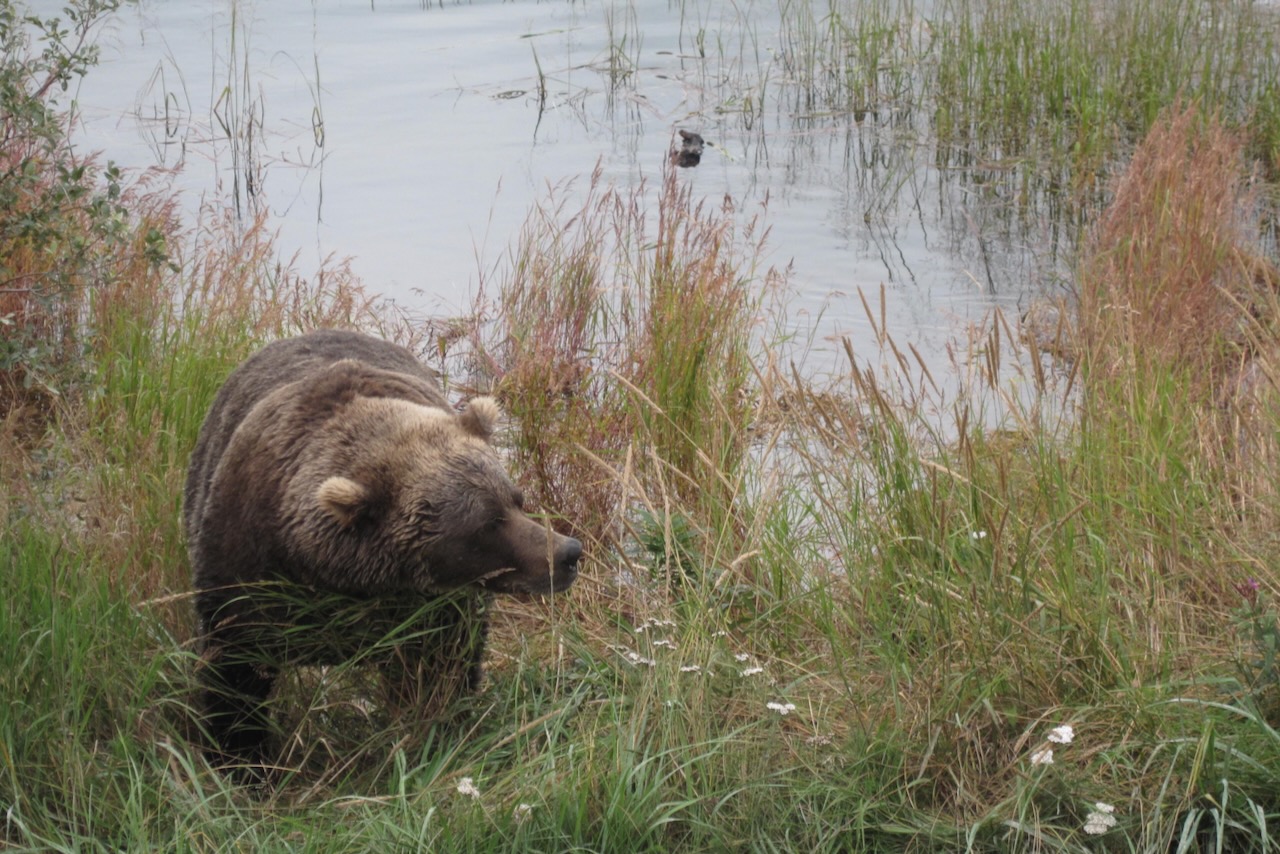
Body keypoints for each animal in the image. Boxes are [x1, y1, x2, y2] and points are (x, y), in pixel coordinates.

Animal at [183, 328, 581, 771]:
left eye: (516, 499)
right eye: (486, 523)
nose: (568, 552)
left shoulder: (428, 610)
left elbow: (440, 674)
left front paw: (437, 733)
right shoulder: (248, 569)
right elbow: (235, 676)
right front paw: (241, 761)